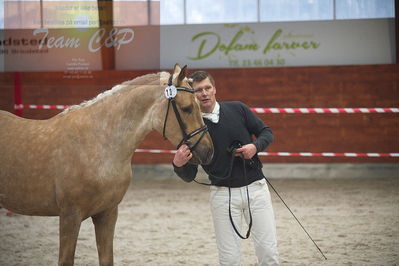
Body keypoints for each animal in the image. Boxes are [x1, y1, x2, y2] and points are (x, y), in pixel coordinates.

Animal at [0, 65, 216, 266]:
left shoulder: (107, 213)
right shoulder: (70, 216)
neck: (97, 142)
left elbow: (107, 258)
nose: (208, 152)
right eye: (187, 108)